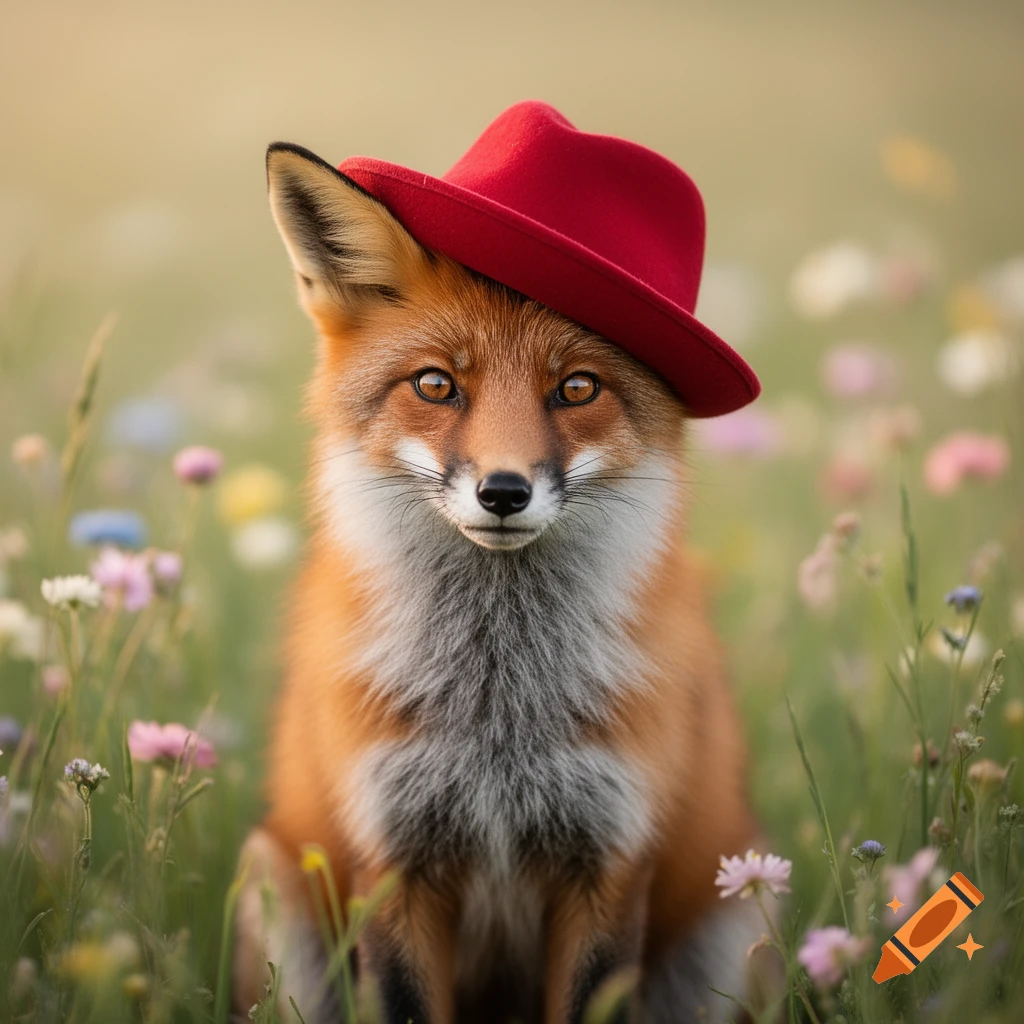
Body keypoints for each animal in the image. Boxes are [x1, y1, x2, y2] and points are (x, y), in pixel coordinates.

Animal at [232, 136, 774, 1023]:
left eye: (577, 387)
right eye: (435, 384)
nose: (504, 491)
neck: (497, 709)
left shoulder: (608, 860)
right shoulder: (395, 856)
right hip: (278, 884)